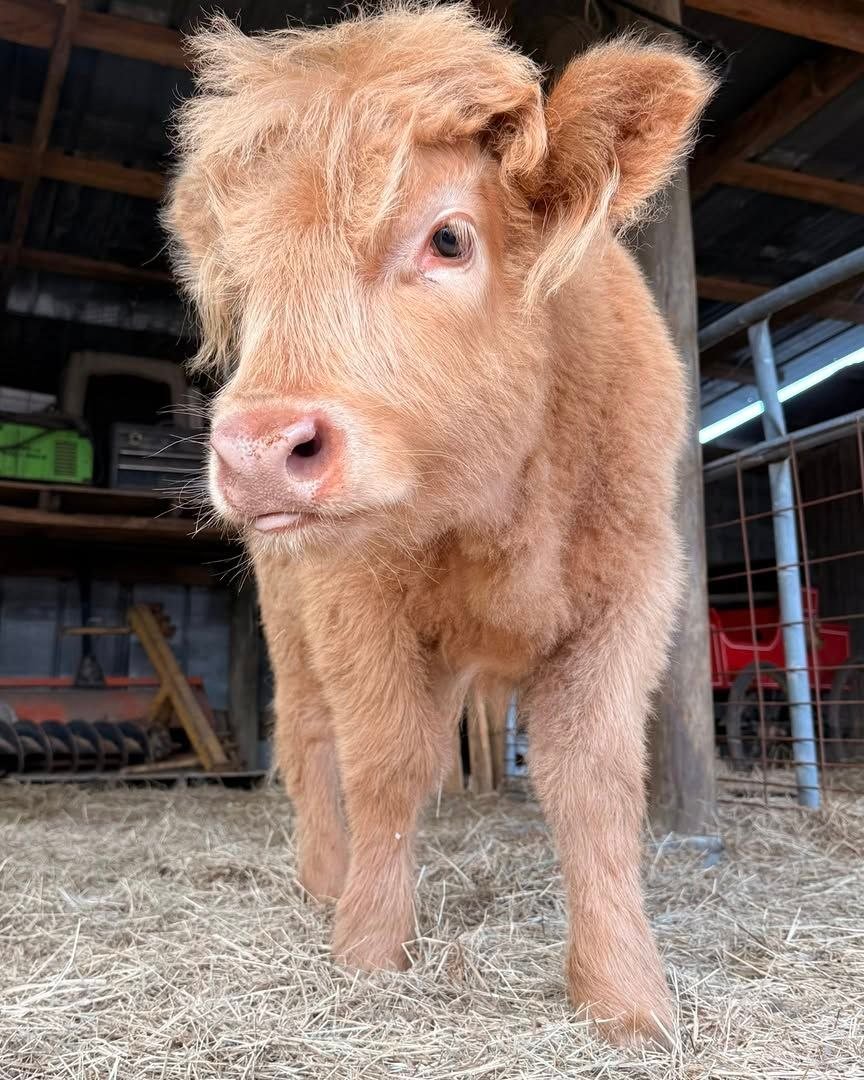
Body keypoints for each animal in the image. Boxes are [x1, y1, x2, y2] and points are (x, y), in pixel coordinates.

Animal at [164, 2, 714, 1046]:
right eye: (244, 285)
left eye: (449, 240)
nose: (257, 450)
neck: (502, 513)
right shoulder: (355, 600)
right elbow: (385, 765)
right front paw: (368, 949)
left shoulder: (634, 593)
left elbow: (594, 784)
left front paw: (627, 999)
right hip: (290, 617)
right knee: (309, 738)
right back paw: (325, 878)